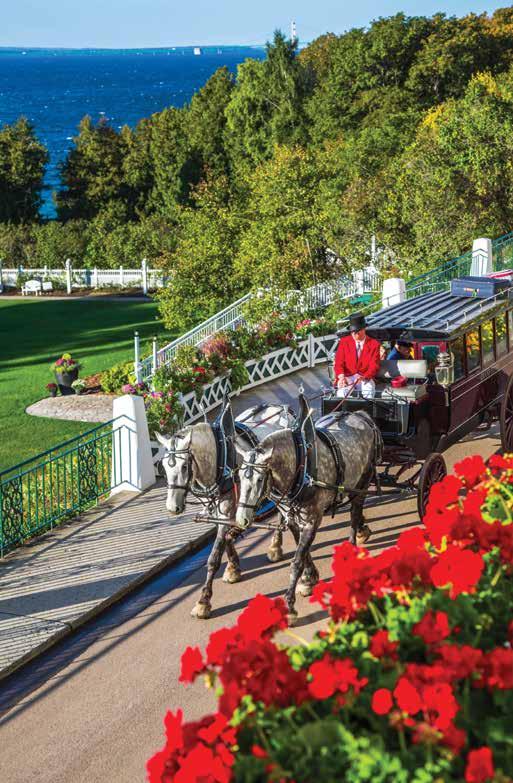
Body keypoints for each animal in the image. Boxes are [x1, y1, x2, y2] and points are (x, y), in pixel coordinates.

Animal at [155, 402, 296, 619]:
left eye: (185, 466)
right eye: (164, 467)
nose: (172, 508)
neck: (218, 459)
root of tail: (280, 407)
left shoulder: (227, 507)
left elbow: (214, 557)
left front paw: (203, 602)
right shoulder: (219, 512)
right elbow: (226, 537)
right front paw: (233, 568)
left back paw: (275, 546)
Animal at [235, 406, 383, 624]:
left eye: (260, 478)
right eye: (239, 476)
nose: (242, 519)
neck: (301, 467)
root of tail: (360, 415)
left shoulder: (312, 520)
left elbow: (296, 560)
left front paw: (289, 605)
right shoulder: (293, 520)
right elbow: (302, 551)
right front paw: (309, 579)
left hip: (363, 482)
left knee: (355, 514)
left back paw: (353, 547)